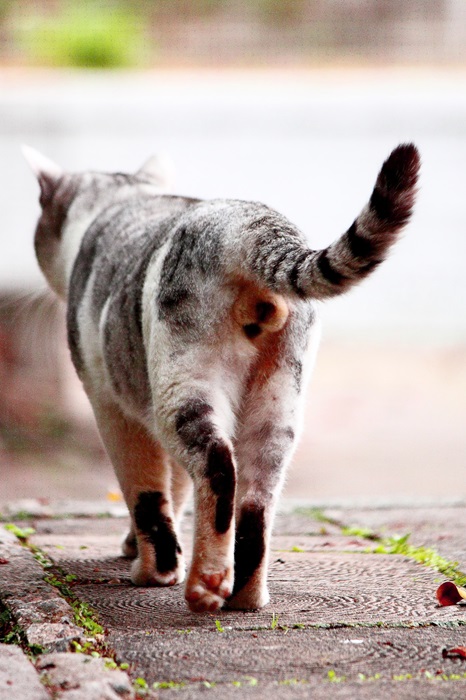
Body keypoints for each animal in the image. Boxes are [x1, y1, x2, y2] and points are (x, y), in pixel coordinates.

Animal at [23, 144, 420, 612]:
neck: (121, 201)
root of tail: (247, 226)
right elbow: (176, 489)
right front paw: (138, 547)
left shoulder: (112, 407)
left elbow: (147, 493)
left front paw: (154, 569)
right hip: (278, 402)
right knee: (255, 499)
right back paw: (245, 594)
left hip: (184, 385)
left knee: (217, 465)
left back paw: (206, 584)